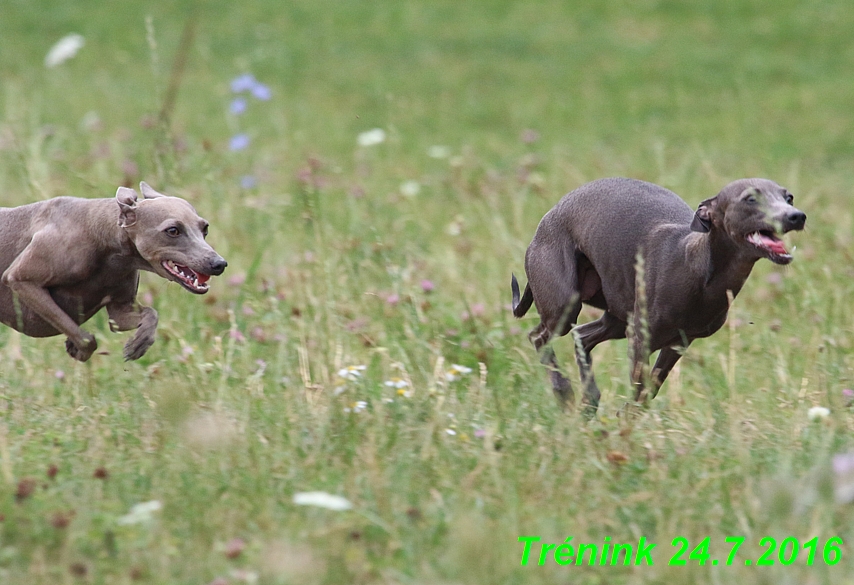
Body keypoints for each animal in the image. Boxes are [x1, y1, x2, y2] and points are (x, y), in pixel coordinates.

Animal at [0, 184, 227, 360]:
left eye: (205, 228)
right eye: (173, 230)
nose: (219, 264)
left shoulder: (120, 311)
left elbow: (150, 314)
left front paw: (139, 343)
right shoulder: (21, 279)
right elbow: (87, 339)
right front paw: (77, 348)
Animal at [516, 178, 808, 410]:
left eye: (789, 197)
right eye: (750, 198)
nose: (797, 216)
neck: (698, 267)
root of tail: (549, 215)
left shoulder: (678, 343)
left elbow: (647, 392)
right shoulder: (640, 339)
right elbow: (640, 391)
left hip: (616, 316)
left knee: (582, 336)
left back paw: (590, 400)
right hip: (564, 304)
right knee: (539, 337)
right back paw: (564, 392)